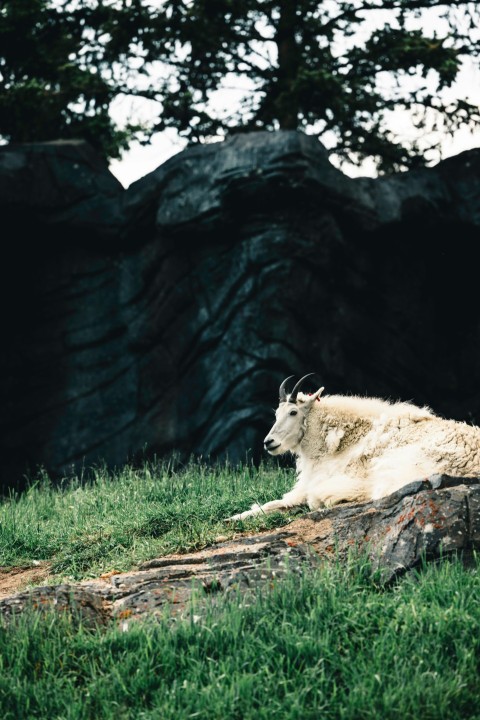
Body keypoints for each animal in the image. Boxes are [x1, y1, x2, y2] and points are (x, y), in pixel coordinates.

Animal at [227, 374, 480, 520]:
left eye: (293, 412)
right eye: (276, 414)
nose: (268, 442)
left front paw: (235, 517)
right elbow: (275, 503)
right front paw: (235, 516)